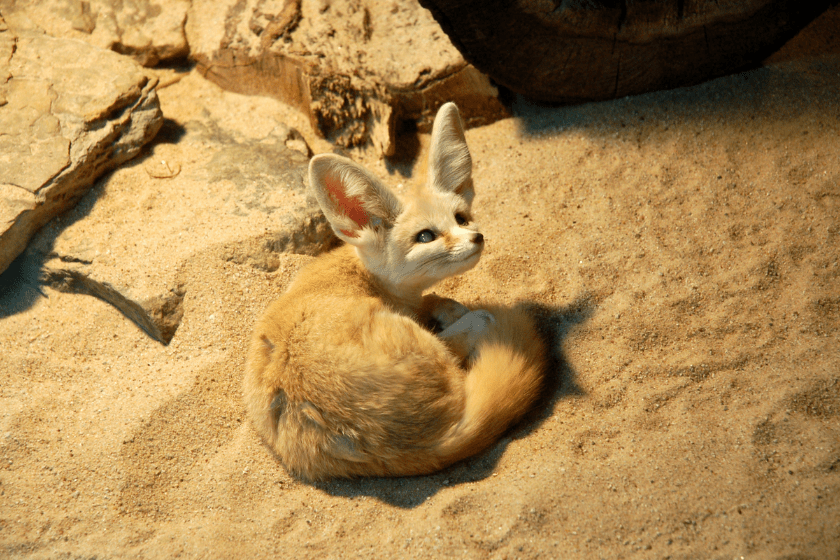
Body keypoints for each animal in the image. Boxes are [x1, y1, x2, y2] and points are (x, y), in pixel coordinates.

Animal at [244, 103, 544, 480]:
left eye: (461, 218)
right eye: (426, 237)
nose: (477, 238)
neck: (365, 274)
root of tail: (431, 444)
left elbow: (432, 300)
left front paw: (443, 305)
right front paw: (454, 311)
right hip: (434, 352)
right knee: (478, 325)